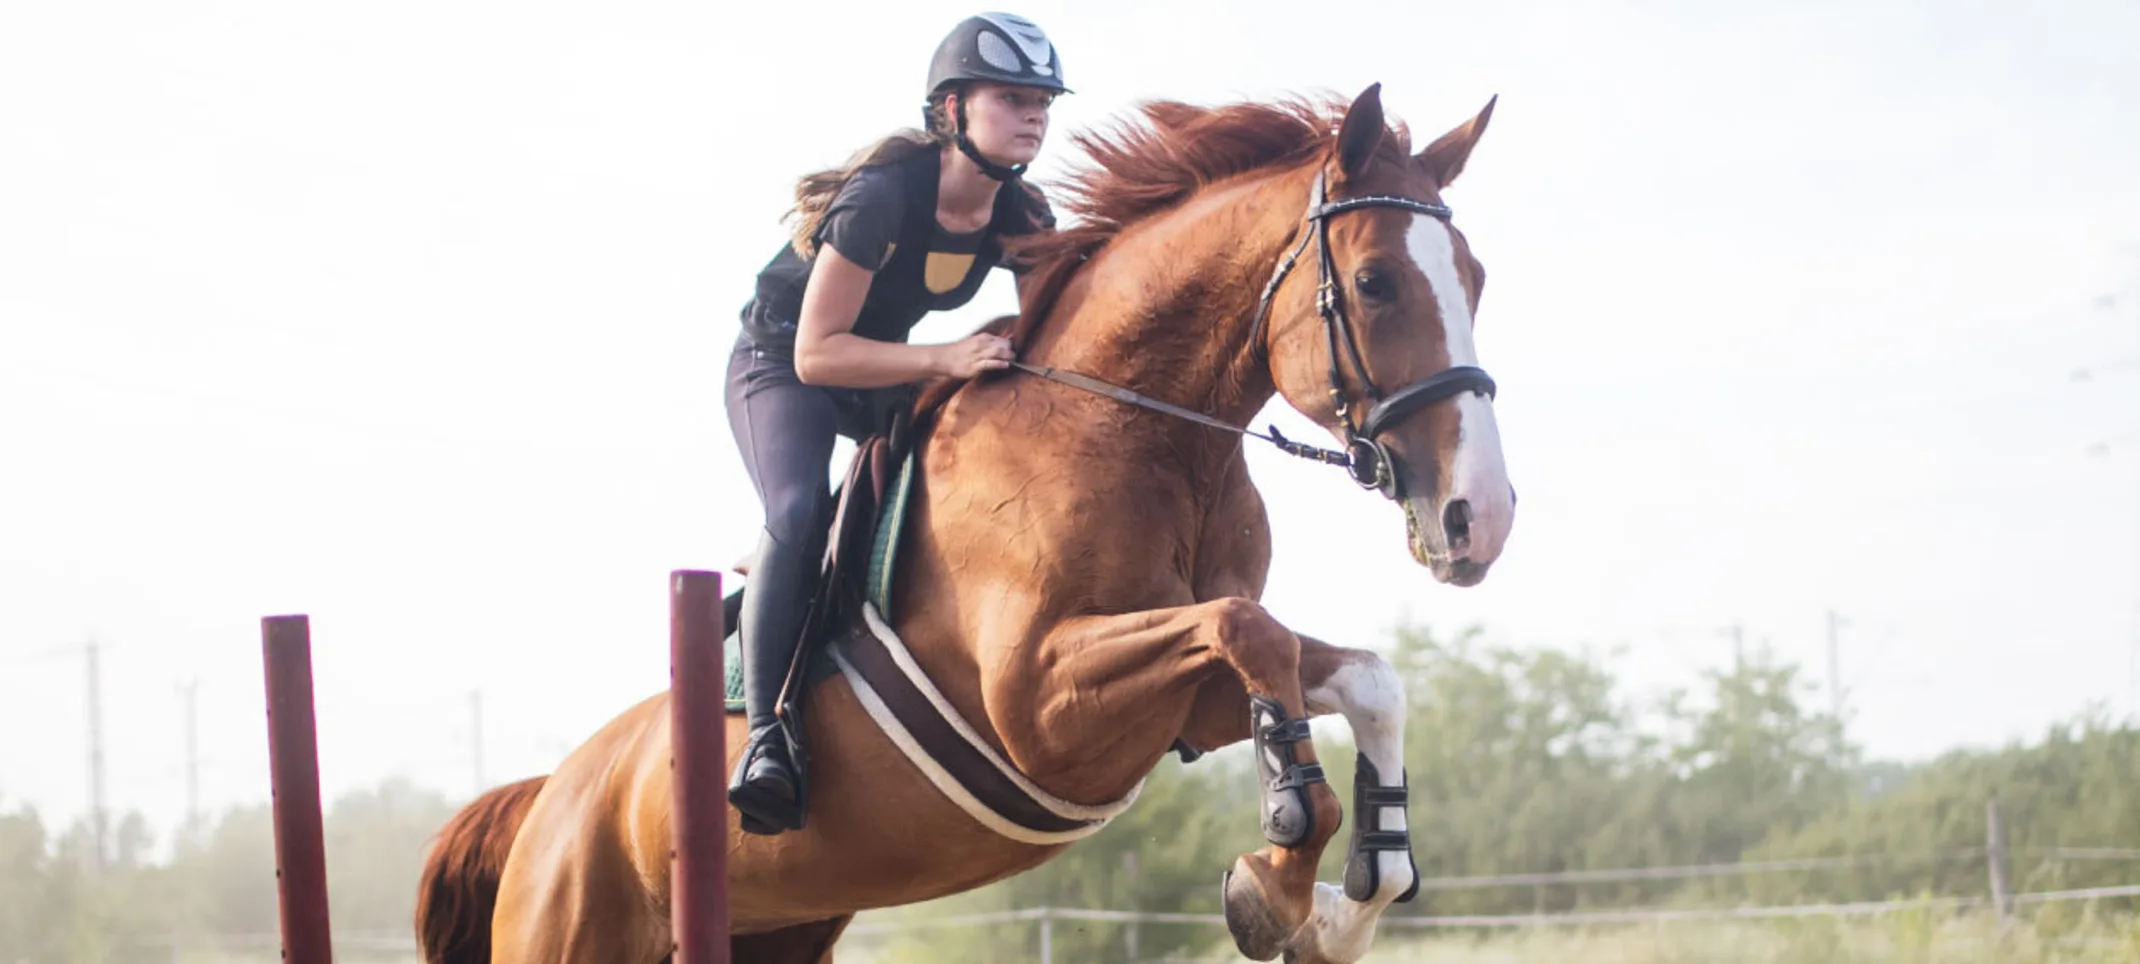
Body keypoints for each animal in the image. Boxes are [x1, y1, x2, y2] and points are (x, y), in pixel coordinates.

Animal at [417, 83, 1515, 964]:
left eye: (1476, 278)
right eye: (1374, 282)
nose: (1483, 518)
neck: (1134, 431)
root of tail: (547, 799)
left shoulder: (1177, 710)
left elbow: (1353, 673)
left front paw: (1342, 902)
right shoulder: (1041, 706)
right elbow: (1251, 631)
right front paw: (1277, 877)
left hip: (778, 930)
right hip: (573, 922)